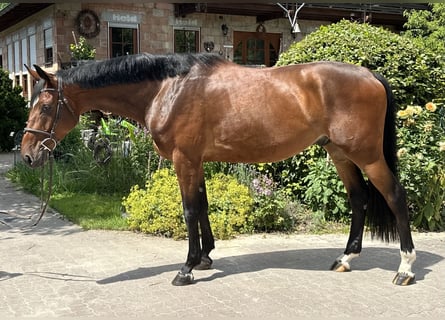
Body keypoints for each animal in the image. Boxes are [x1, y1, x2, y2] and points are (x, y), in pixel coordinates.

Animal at [21, 52, 416, 284]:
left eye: (45, 106)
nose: (27, 156)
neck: (168, 89)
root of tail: (370, 75)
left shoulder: (184, 159)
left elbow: (189, 210)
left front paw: (186, 268)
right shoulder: (197, 161)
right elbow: (203, 206)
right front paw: (205, 258)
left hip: (367, 155)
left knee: (396, 197)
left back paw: (405, 270)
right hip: (339, 152)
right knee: (359, 199)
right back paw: (345, 259)